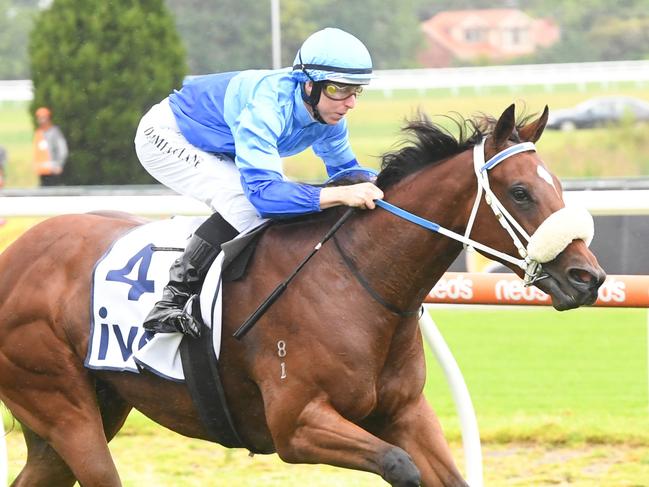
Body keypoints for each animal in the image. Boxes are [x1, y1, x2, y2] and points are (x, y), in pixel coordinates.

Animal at [1, 105, 604, 486]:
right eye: (521, 192)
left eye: (558, 187)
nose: (588, 278)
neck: (357, 281)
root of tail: (14, 256)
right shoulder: (296, 425)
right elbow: (399, 467)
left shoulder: (404, 412)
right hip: (63, 406)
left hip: (80, 415)